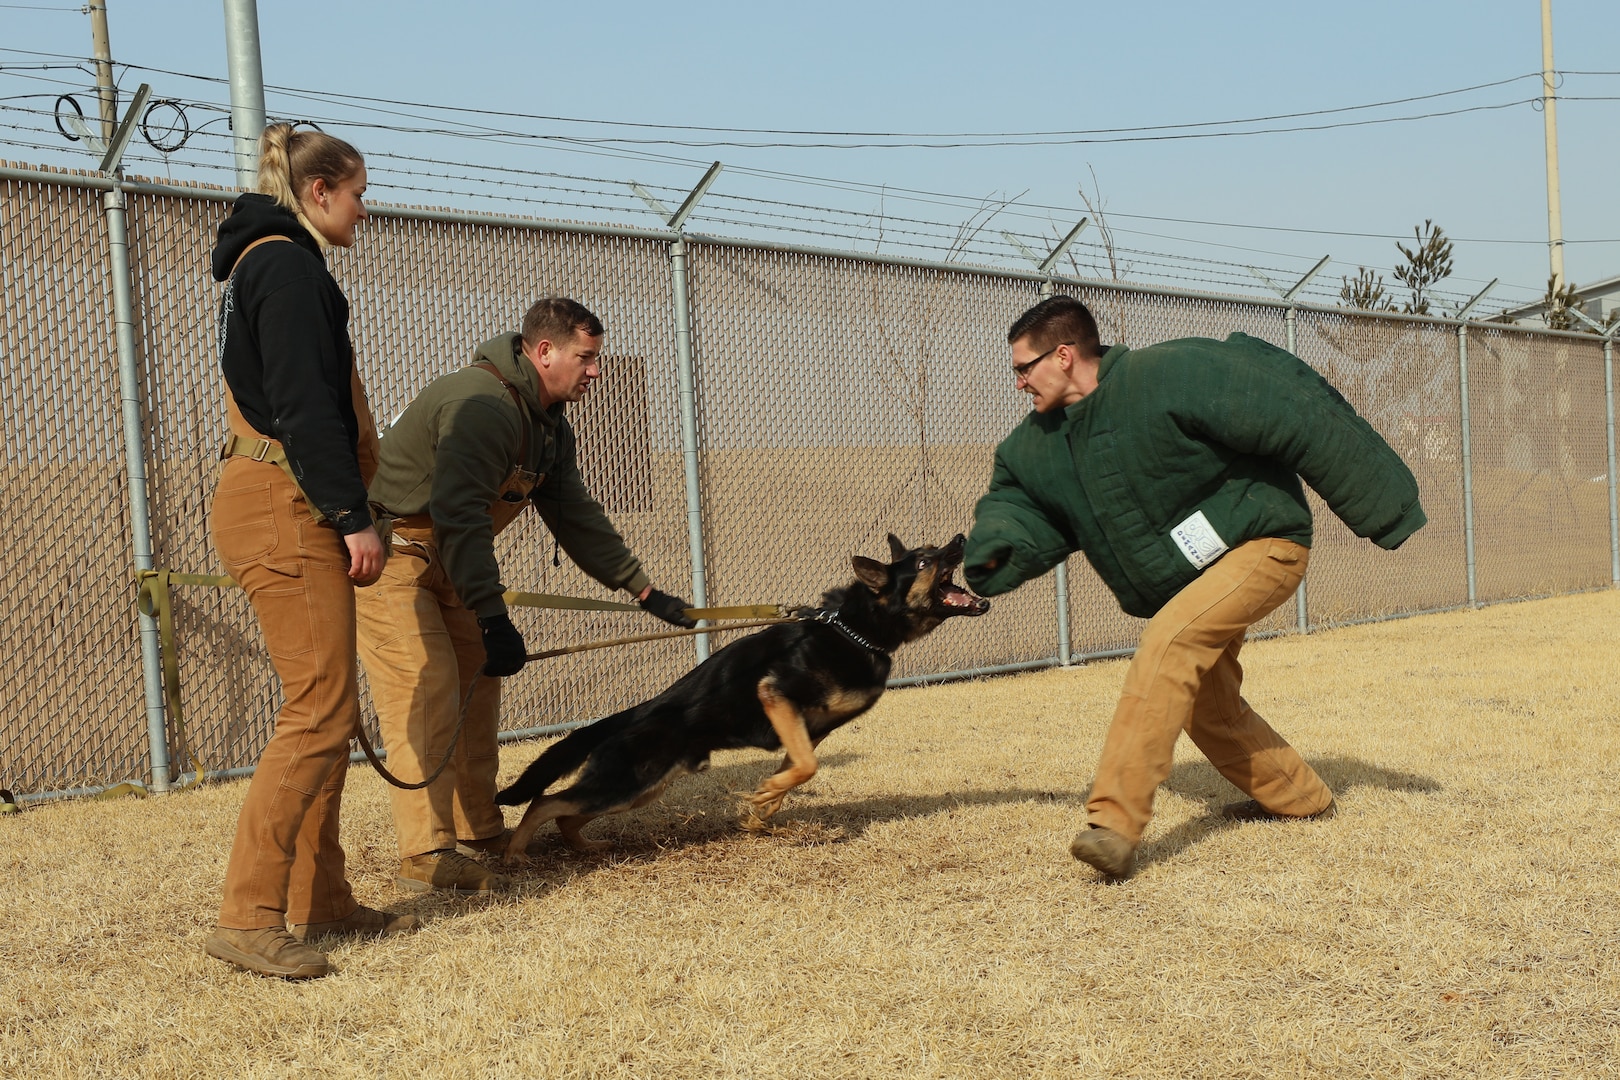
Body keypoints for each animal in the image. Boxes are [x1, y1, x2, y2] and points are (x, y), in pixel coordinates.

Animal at [486, 531, 984, 861]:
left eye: (934, 552)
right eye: (923, 563)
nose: (961, 538)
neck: (855, 630)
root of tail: (631, 714)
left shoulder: (809, 729)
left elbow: (795, 771)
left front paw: (761, 811)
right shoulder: (776, 693)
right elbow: (806, 766)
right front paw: (763, 797)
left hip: (639, 788)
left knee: (566, 814)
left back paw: (586, 845)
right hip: (624, 782)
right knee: (545, 803)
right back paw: (514, 854)